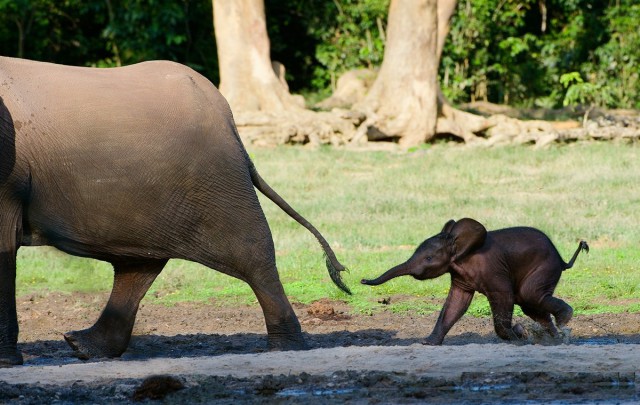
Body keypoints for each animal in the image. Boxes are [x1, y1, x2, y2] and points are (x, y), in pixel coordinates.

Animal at [0, 55, 350, 364]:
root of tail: (229, 121)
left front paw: (8, 363)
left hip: (216, 180)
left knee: (253, 255)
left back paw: (285, 348)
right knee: (138, 265)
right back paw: (82, 346)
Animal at [362, 218, 588, 344]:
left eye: (428, 259)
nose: (362, 280)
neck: (461, 248)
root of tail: (562, 260)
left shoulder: (493, 269)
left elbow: (503, 296)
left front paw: (517, 338)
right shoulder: (460, 276)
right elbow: (456, 303)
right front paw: (428, 343)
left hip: (545, 267)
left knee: (529, 295)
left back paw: (564, 320)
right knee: (530, 304)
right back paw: (555, 339)